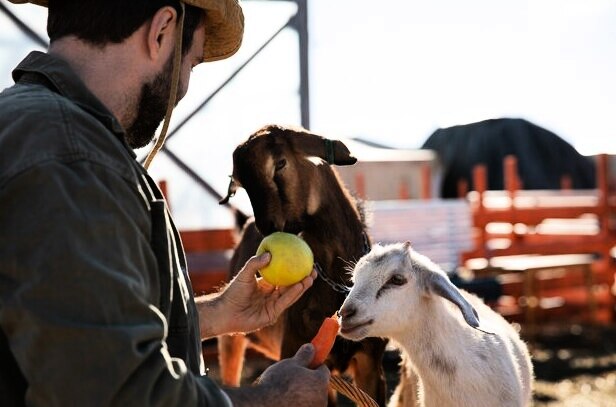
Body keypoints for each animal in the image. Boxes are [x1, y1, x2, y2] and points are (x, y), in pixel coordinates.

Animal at [219, 126, 388, 406]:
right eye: (241, 183)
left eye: (280, 163)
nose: (268, 228)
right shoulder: (301, 354)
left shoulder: (370, 362)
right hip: (231, 340)